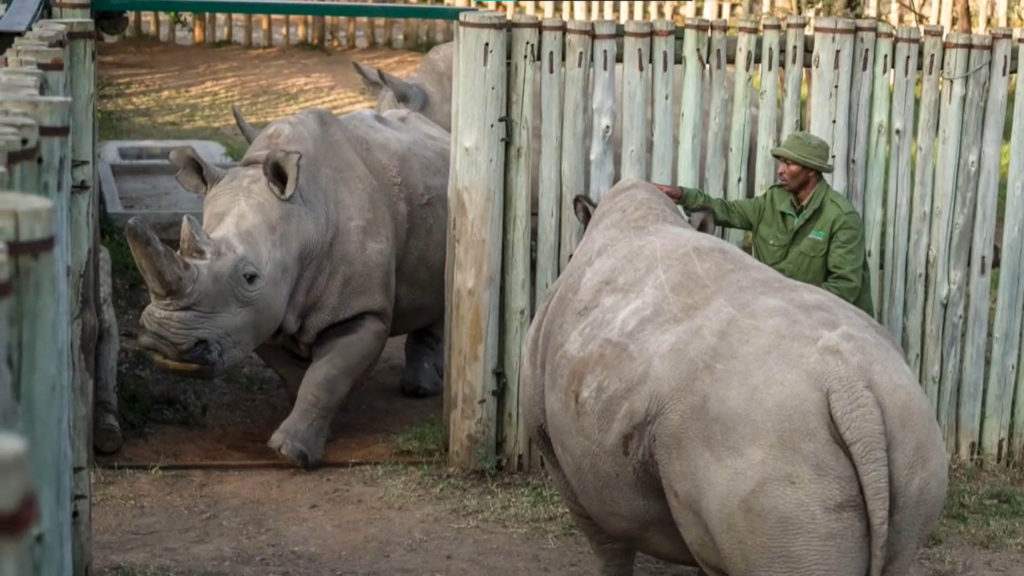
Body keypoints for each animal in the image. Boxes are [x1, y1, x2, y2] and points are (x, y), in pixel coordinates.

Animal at [126, 106, 450, 468]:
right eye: (181, 252)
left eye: (250, 278)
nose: (166, 344)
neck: (302, 222)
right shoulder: (259, 315)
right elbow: (298, 374)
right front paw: (311, 416)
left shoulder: (362, 311)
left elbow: (326, 376)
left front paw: (292, 453)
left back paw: (420, 389)